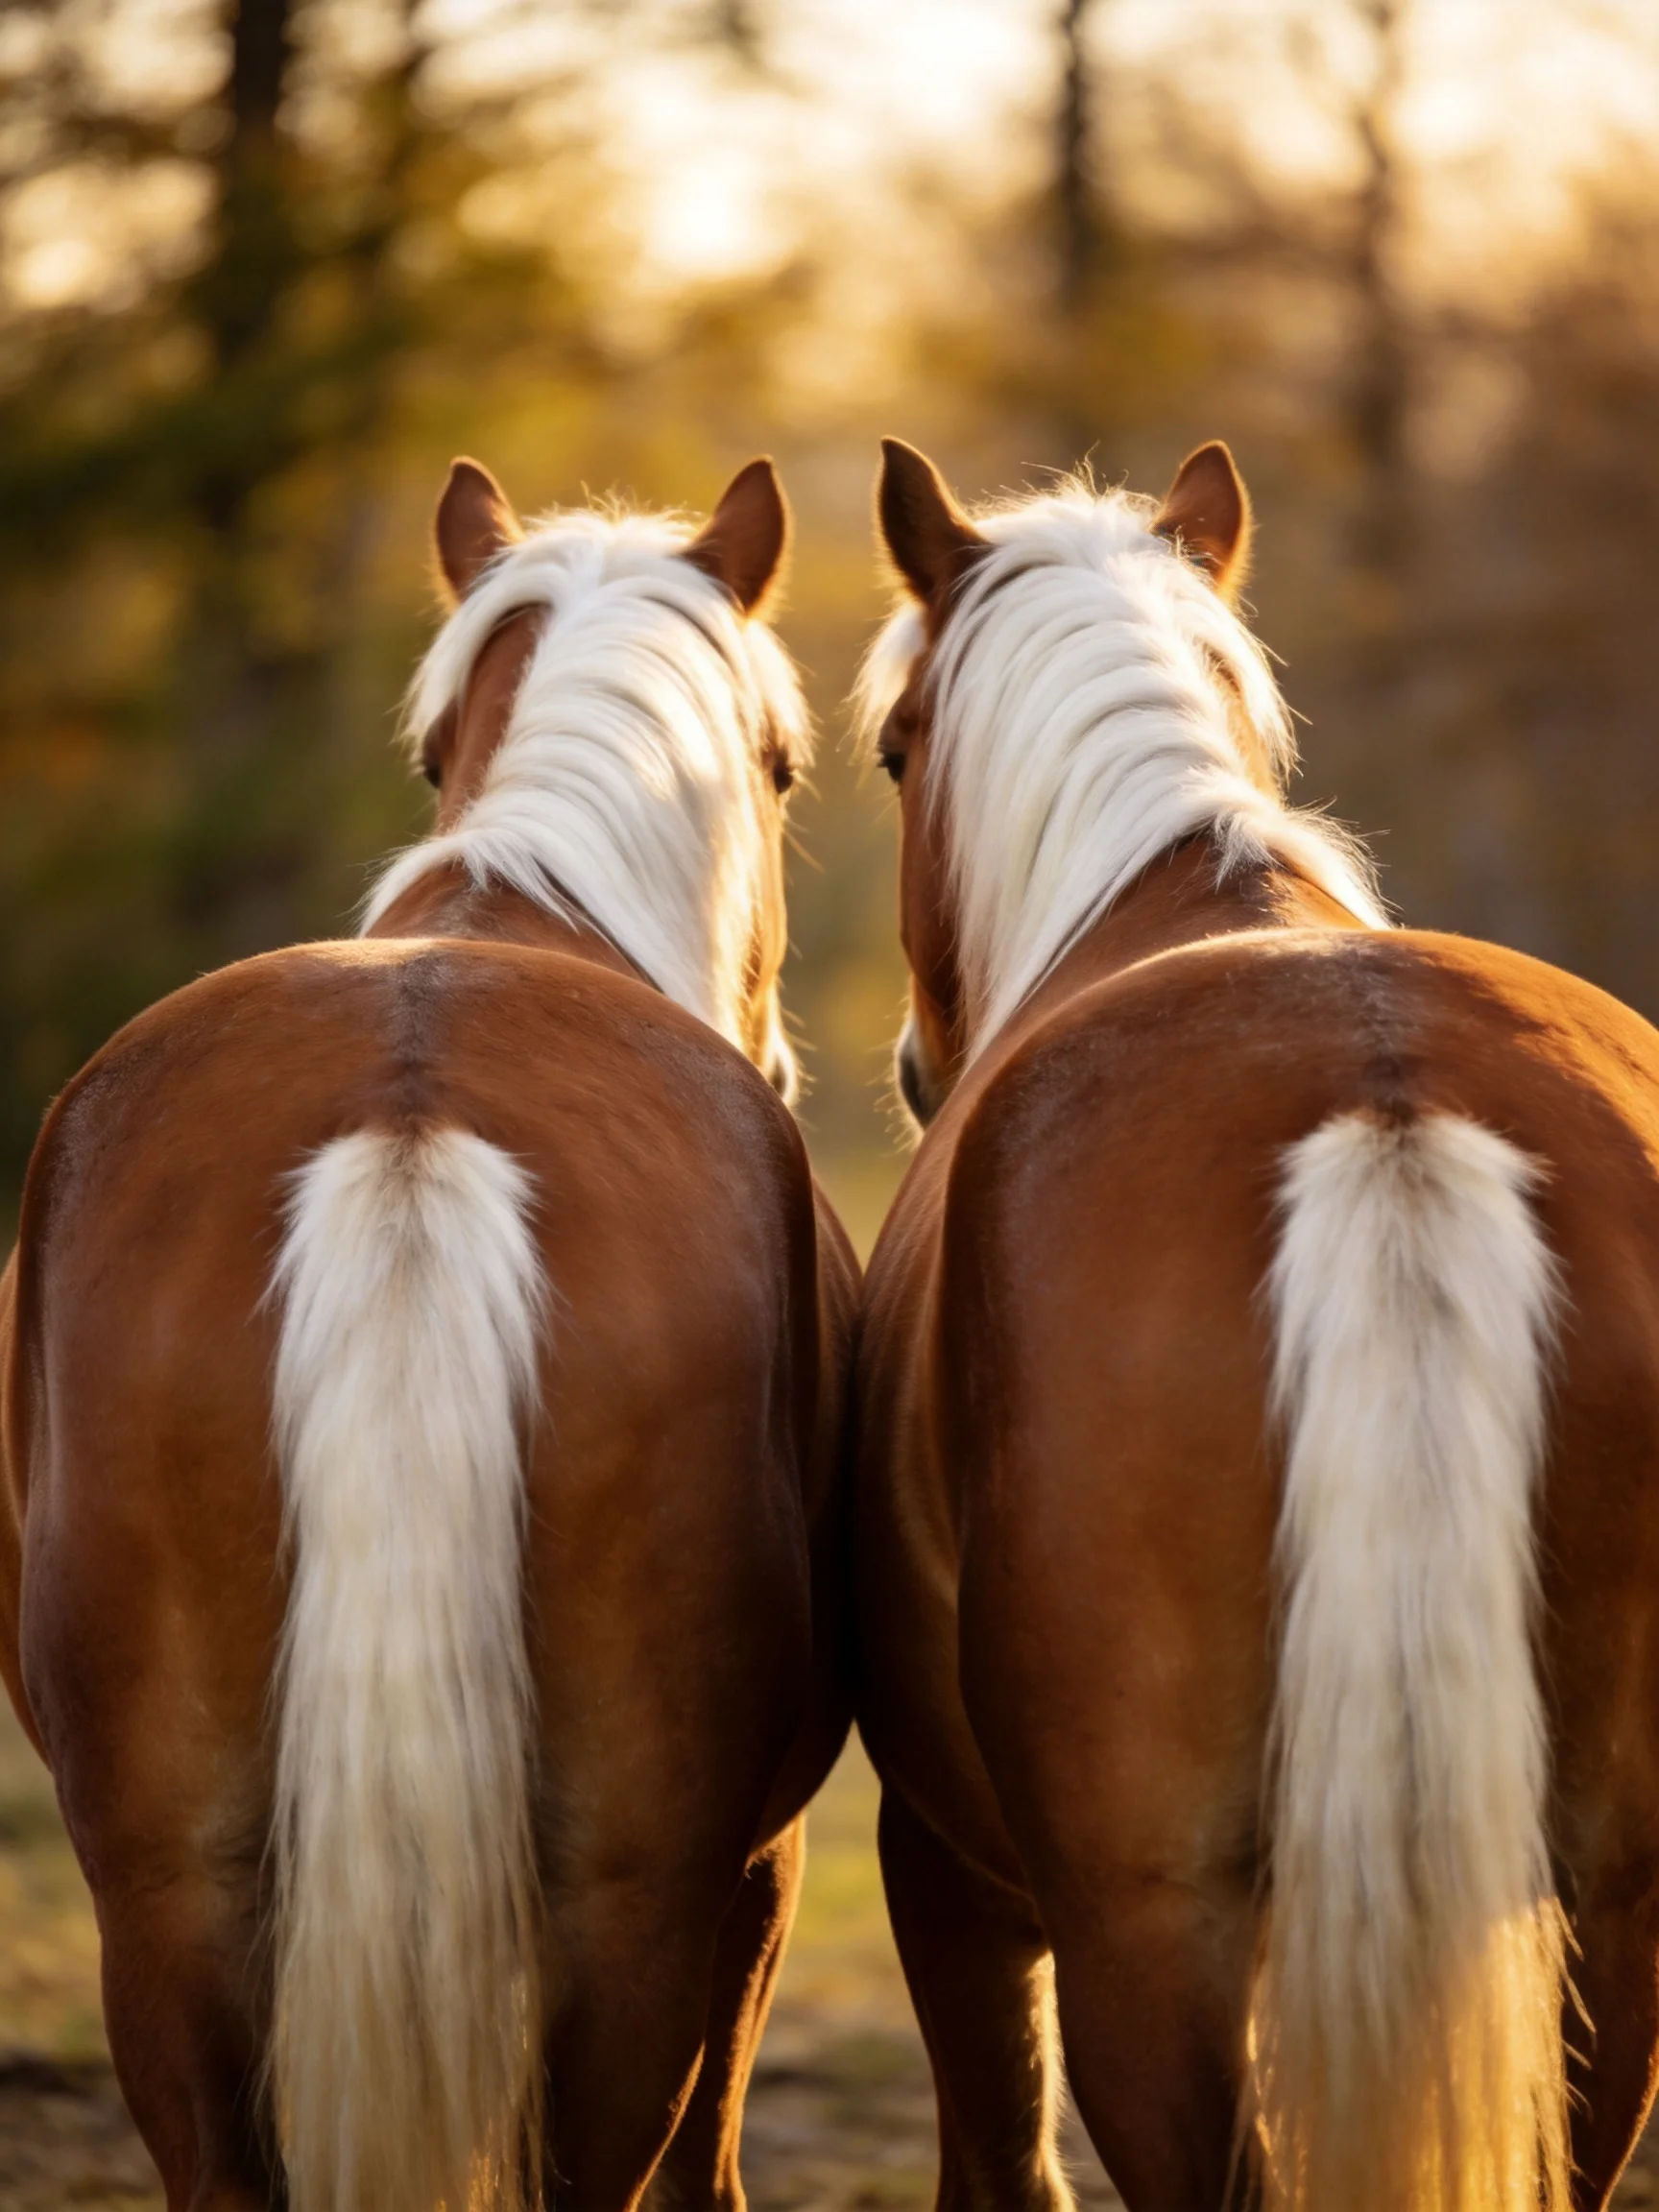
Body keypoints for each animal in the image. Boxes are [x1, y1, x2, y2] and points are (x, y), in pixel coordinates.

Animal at [852, 433, 1659, 2212]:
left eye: (889, 749)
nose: (912, 1068)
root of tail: (1386, 1100)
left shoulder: (942, 1864)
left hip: (1141, 1927)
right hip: (1615, 1899)